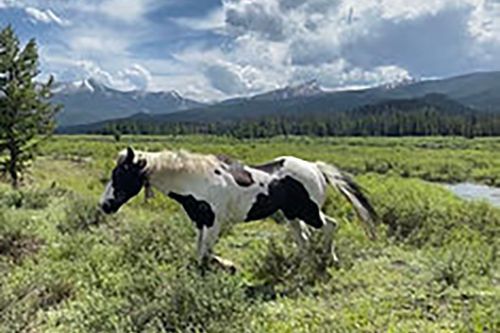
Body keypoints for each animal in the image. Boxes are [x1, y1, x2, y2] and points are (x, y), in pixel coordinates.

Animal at [99, 147, 376, 270]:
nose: (105, 205)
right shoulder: (200, 221)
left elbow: (206, 254)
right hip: (292, 215)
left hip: (309, 211)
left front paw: (225, 267)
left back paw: (331, 260)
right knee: (304, 239)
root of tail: (315, 168)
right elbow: (200, 252)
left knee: (330, 225)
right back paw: (299, 265)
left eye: (121, 175)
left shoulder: (213, 222)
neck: (195, 179)